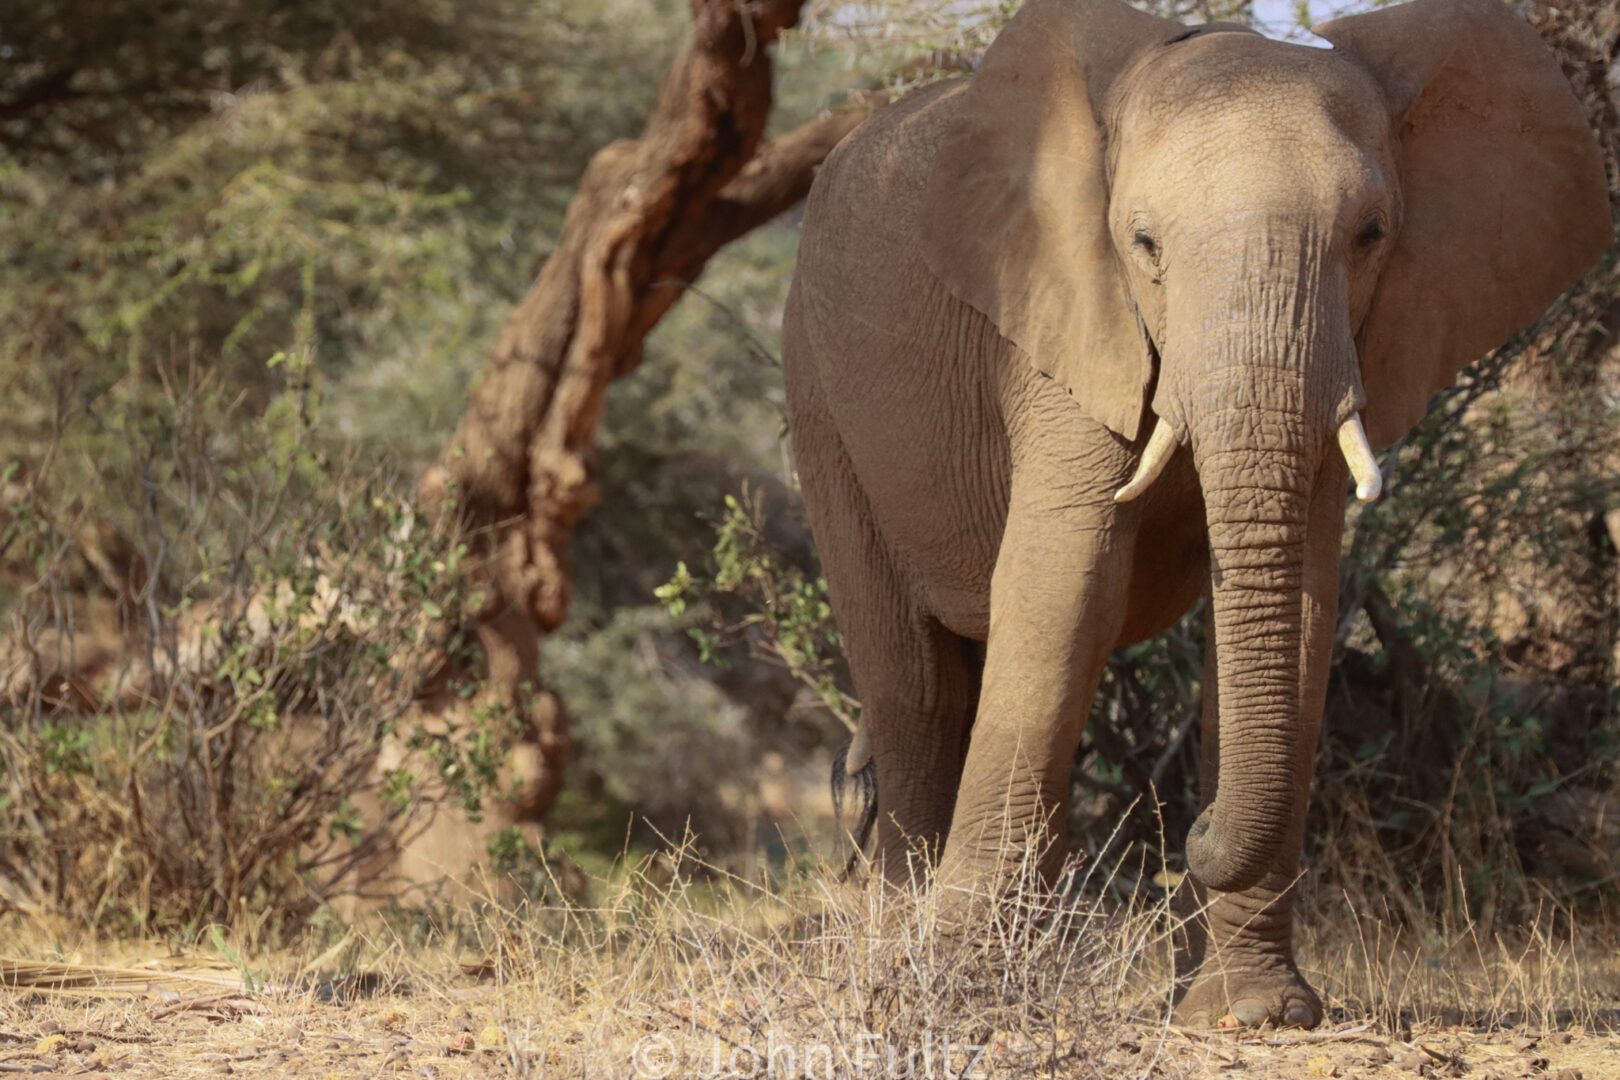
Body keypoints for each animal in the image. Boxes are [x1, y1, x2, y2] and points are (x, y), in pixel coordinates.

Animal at [780, 0, 1607, 1029]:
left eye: (1373, 234)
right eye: (1144, 244)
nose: (1191, 830)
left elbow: (1300, 613)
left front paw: (1253, 1015)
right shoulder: (1065, 328)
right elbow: (1066, 588)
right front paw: (962, 989)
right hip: (818, 395)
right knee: (915, 686)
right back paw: (905, 955)